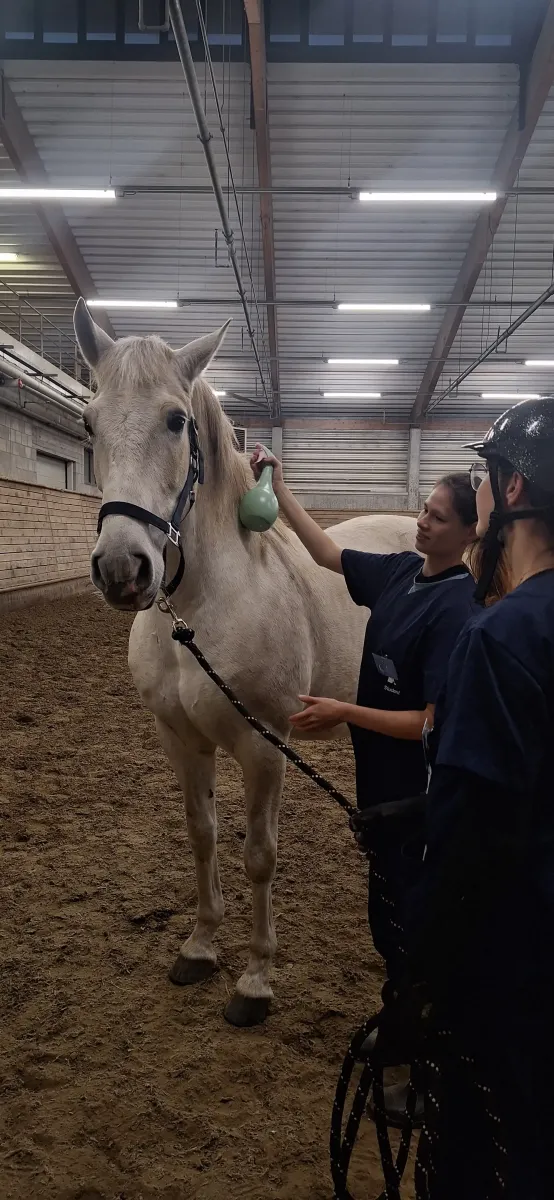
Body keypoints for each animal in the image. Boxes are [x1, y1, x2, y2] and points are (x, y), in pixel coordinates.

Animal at [73, 298, 417, 1026]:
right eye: (89, 422)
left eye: (176, 420)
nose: (122, 570)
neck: (200, 613)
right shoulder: (180, 739)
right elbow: (202, 833)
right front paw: (201, 947)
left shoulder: (265, 746)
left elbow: (260, 854)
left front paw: (256, 980)